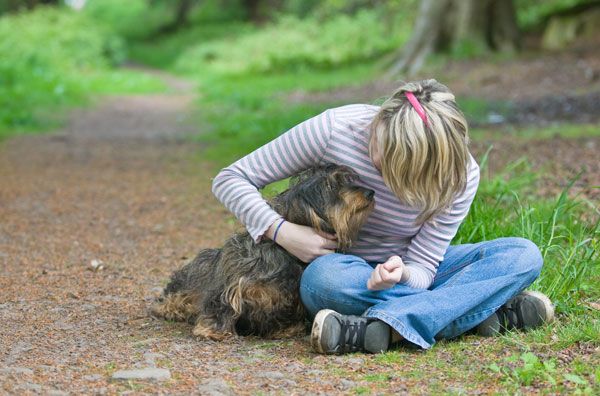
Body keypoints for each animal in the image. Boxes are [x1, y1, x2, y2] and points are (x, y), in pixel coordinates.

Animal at [151, 162, 376, 338]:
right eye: (330, 186)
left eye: (346, 180)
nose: (370, 192)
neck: (285, 252)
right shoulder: (232, 282)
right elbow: (222, 301)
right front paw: (212, 329)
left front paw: (285, 329)